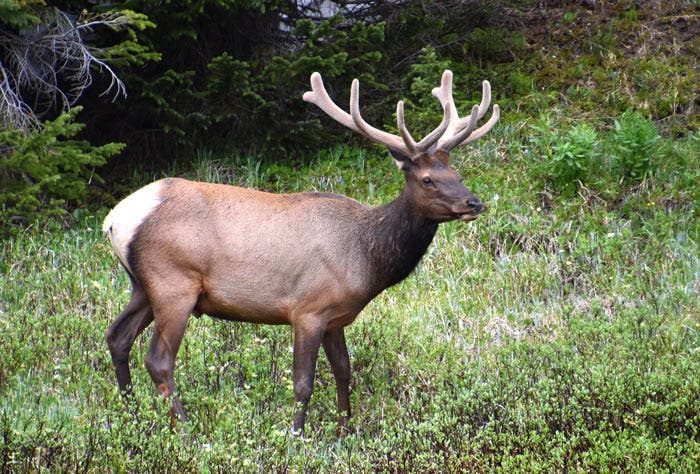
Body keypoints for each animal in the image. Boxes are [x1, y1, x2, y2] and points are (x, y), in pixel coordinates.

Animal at [102, 70, 499, 435]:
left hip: (143, 286)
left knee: (117, 338)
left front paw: (345, 430)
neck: (367, 258)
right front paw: (296, 436)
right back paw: (184, 431)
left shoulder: (335, 316)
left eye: (457, 174)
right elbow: (303, 382)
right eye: (428, 179)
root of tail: (114, 220)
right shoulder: (308, 309)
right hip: (174, 284)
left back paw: (130, 417)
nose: (474, 202)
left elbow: (344, 371)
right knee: (158, 359)